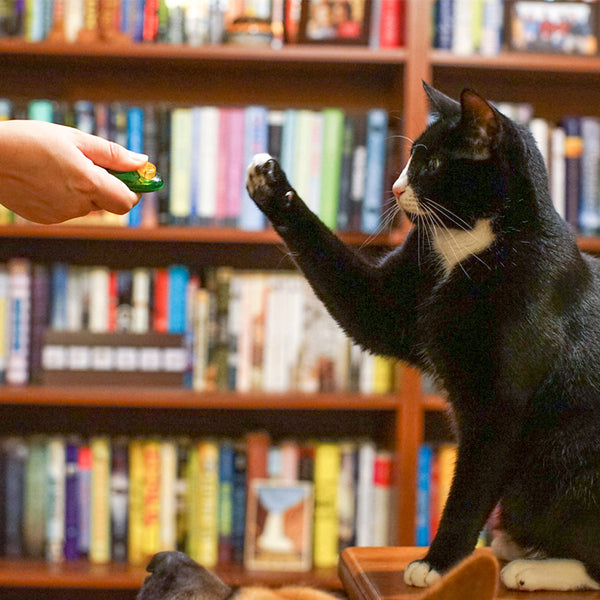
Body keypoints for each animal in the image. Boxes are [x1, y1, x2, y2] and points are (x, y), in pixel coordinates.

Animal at [244, 83, 600, 592]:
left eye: (430, 165)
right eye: (411, 156)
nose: (395, 187)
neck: (466, 252)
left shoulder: (501, 406)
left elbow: (473, 484)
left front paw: (438, 562)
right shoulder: (402, 286)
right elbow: (361, 305)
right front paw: (272, 185)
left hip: (572, 459)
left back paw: (534, 567)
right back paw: (519, 545)